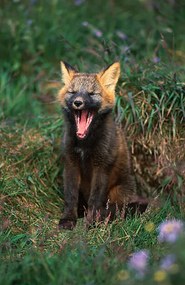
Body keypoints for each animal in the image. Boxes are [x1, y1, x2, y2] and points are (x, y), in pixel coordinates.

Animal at [57, 60, 147, 229]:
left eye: (92, 94)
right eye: (73, 92)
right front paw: (69, 219)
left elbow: (95, 200)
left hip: (118, 192)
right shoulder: (71, 163)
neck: (85, 145)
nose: (77, 102)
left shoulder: (102, 166)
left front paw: (91, 222)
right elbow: (70, 196)